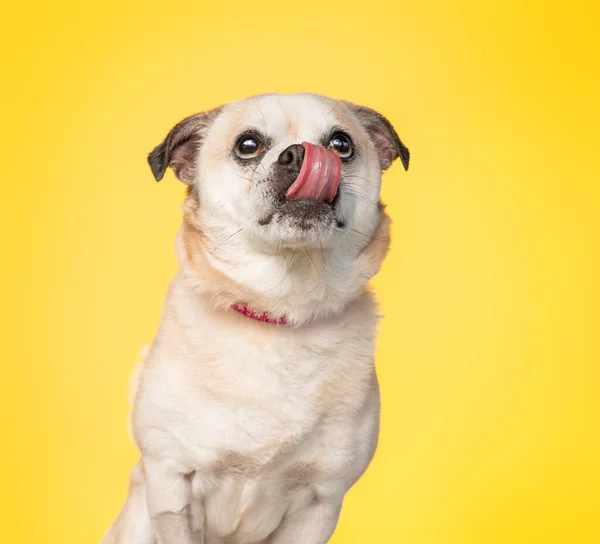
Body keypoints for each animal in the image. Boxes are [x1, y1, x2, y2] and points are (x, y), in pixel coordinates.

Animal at [103, 93, 408, 544]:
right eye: (248, 146)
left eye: (341, 144)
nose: (302, 153)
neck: (278, 312)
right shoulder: (172, 484)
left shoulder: (321, 502)